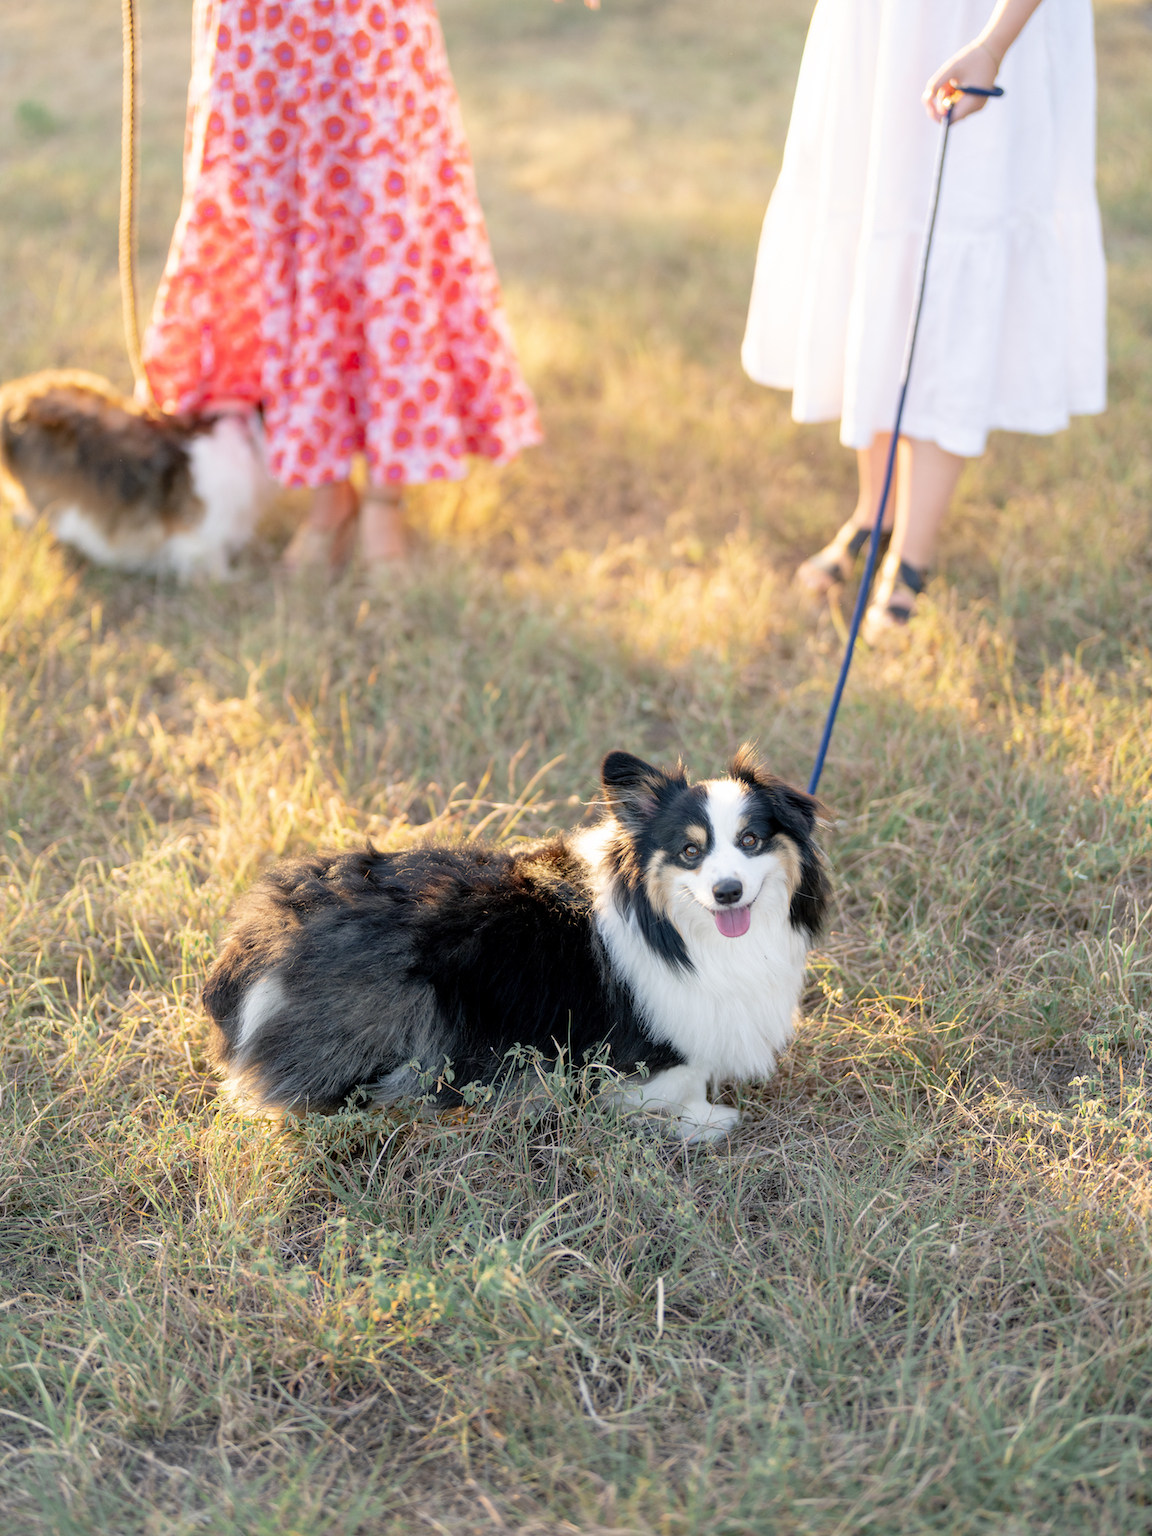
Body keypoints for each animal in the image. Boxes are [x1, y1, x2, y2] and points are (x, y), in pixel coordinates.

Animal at [201, 743, 829, 1142]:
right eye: (690, 851)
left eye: (751, 840)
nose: (728, 892)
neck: (675, 927)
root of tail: (257, 937)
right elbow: (678, 1083)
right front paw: (704, 1122)